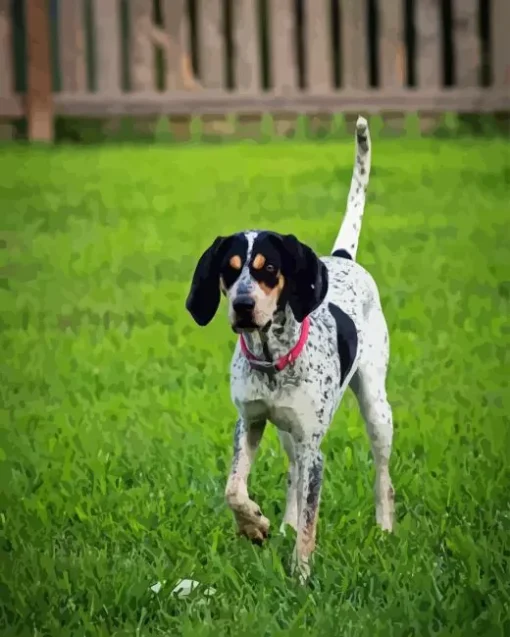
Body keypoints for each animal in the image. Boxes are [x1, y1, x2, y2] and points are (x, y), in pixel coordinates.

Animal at [185, 117, 396, 584]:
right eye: (229, 271)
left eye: (269, 269)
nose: (243, 306)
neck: (271, 361)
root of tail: (342, 257)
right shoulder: (250, 423)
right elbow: (234, 490)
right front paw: (256, 525)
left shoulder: (315, 448)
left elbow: (311, 520)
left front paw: (300, 576)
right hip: (286, 432)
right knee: (292, 476)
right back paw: (282, 523)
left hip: (376, 408)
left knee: (382, 475)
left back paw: (386, 529)